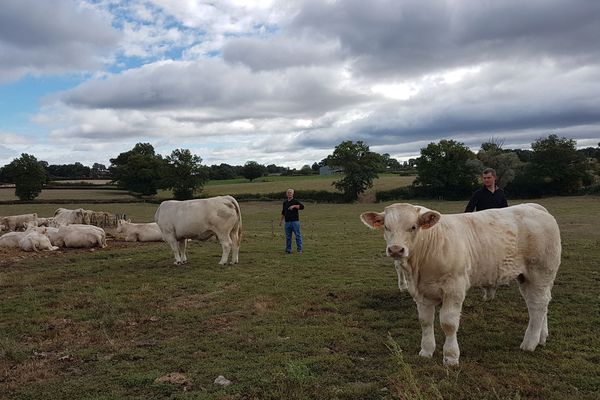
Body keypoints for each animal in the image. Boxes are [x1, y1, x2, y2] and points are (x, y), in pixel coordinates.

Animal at [360, 203, 564, 366]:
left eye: (413, 227)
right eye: (386, 227)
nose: (396, 249)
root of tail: (534, 207)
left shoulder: (454, 289)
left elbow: (448, 323)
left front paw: (451, 357)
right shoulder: (421, 293)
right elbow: (425, 322)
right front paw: (426, 351)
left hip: (540, 272)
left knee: (538, 304)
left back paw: (529, 343)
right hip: (528, 277)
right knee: (540, 304)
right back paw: (541, 337)